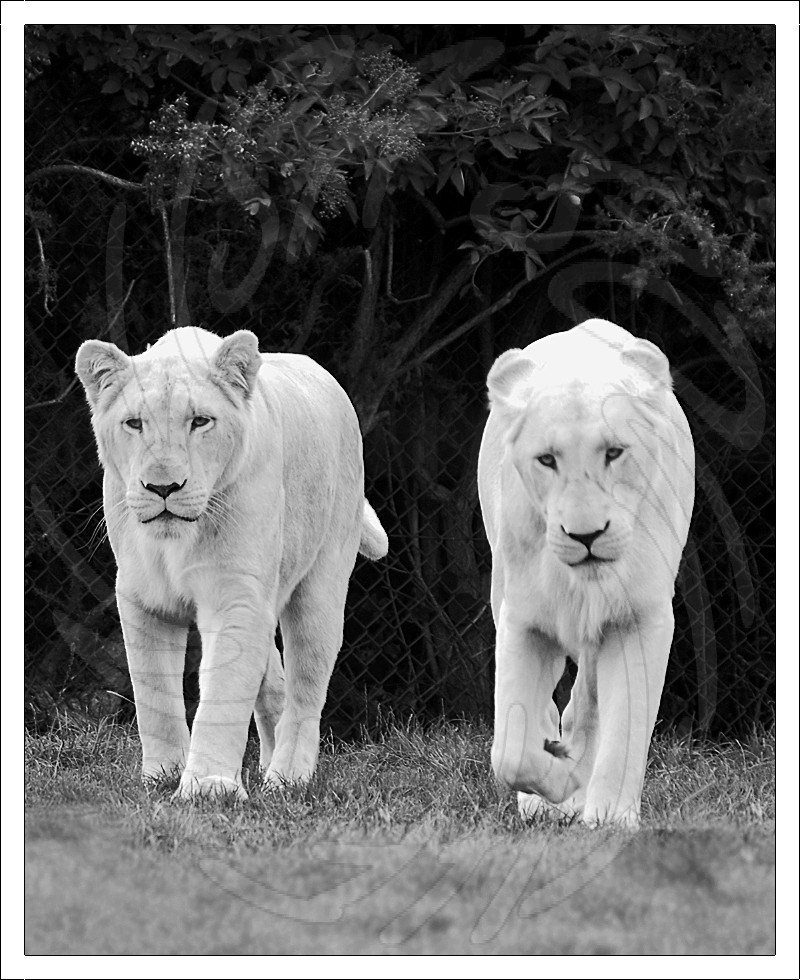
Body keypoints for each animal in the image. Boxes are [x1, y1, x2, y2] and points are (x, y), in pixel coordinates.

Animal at [76, 326, 388, 800]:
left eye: (200, 421)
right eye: (134, 423)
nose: (162, 487)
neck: (178, 541)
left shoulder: (237, 596)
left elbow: (224, 691)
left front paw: (208, 787)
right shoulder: (143, 599)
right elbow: (154, 695)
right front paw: (162, 775)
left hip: (321, 585)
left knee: (306, 688)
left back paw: (287, 778)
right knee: (274, 682)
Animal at [477, 319, 694, 828]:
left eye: (614, 452)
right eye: (547, 459)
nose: (587, 535)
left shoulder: (638, 618)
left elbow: (625, 727)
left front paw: (608, 817)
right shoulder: (523, 620)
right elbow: (510, 750)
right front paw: (558, 783)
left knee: (589, 703)